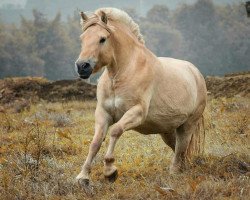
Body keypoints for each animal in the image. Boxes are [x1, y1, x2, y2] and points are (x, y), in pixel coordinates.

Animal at [74, 7, 207, 186]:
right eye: (82, 39)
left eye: (102, 39)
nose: (82, 66)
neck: (123, 72)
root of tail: (196, 73)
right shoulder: (103, 113)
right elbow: (95, 142)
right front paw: (83, 177)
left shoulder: (136, 112)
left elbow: (115, 131)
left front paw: (110, 171)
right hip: (168, 131)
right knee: (179, 149)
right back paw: (183, 169)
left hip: (188, 125)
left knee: (181, 148)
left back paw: (174, 172)